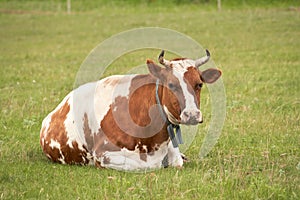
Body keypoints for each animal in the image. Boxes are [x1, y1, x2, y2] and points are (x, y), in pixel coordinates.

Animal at [39, 49, 221, 170]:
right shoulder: (104, 155)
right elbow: (145, 166)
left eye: (199, 84)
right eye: (171, 85)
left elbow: (177, 161)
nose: (192, 115)